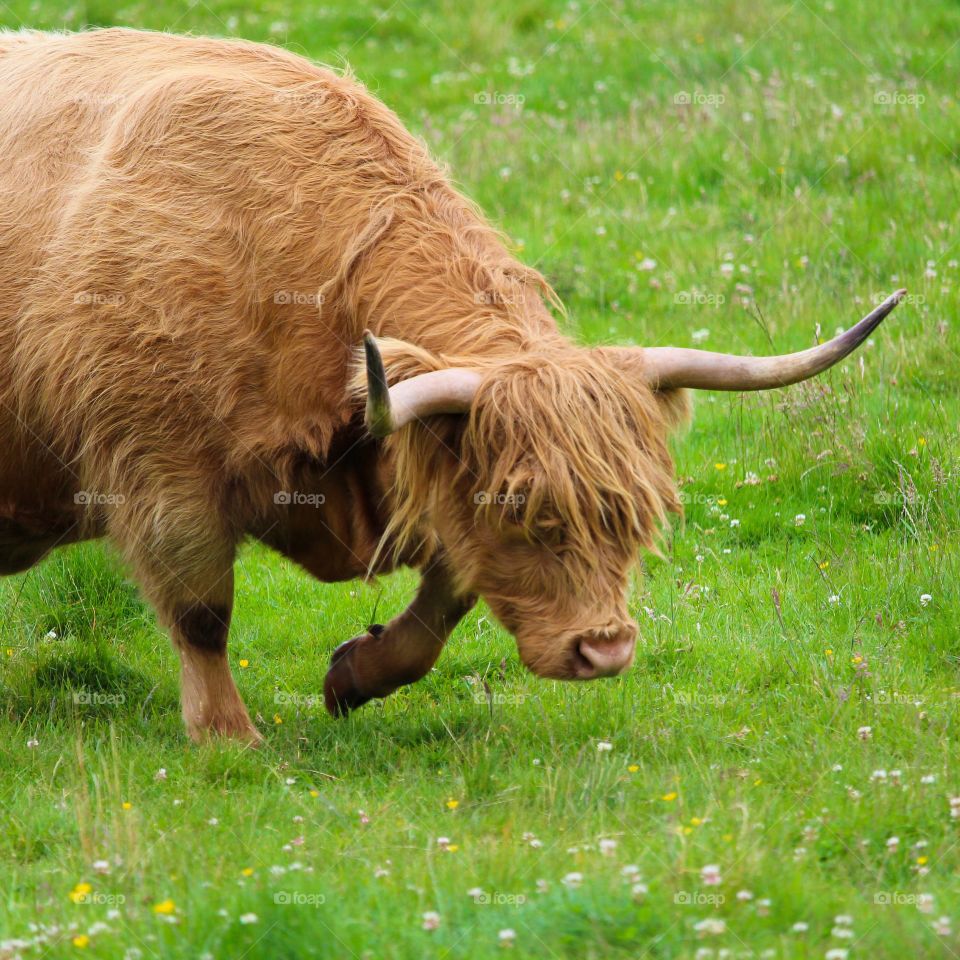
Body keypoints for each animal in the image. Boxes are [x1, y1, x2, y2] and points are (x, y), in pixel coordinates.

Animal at [0, 26, 900, 740]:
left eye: (637, 513)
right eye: (526, 507)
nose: (605, 649)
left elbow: (447, 594)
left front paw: (355, 675)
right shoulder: (162, 470)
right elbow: (201, 612)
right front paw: (228, 738)